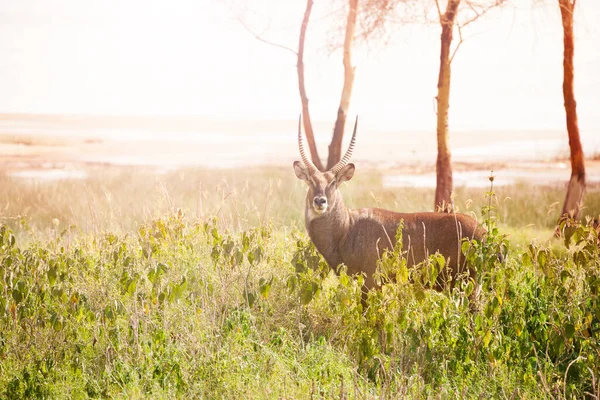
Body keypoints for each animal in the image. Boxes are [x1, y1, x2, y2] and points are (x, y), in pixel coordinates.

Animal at [292, 115, 486, 290]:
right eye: (311, 181)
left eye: (333, 182)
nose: (320, 201)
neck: (347, 227)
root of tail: (485, 233)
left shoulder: (370, 281)